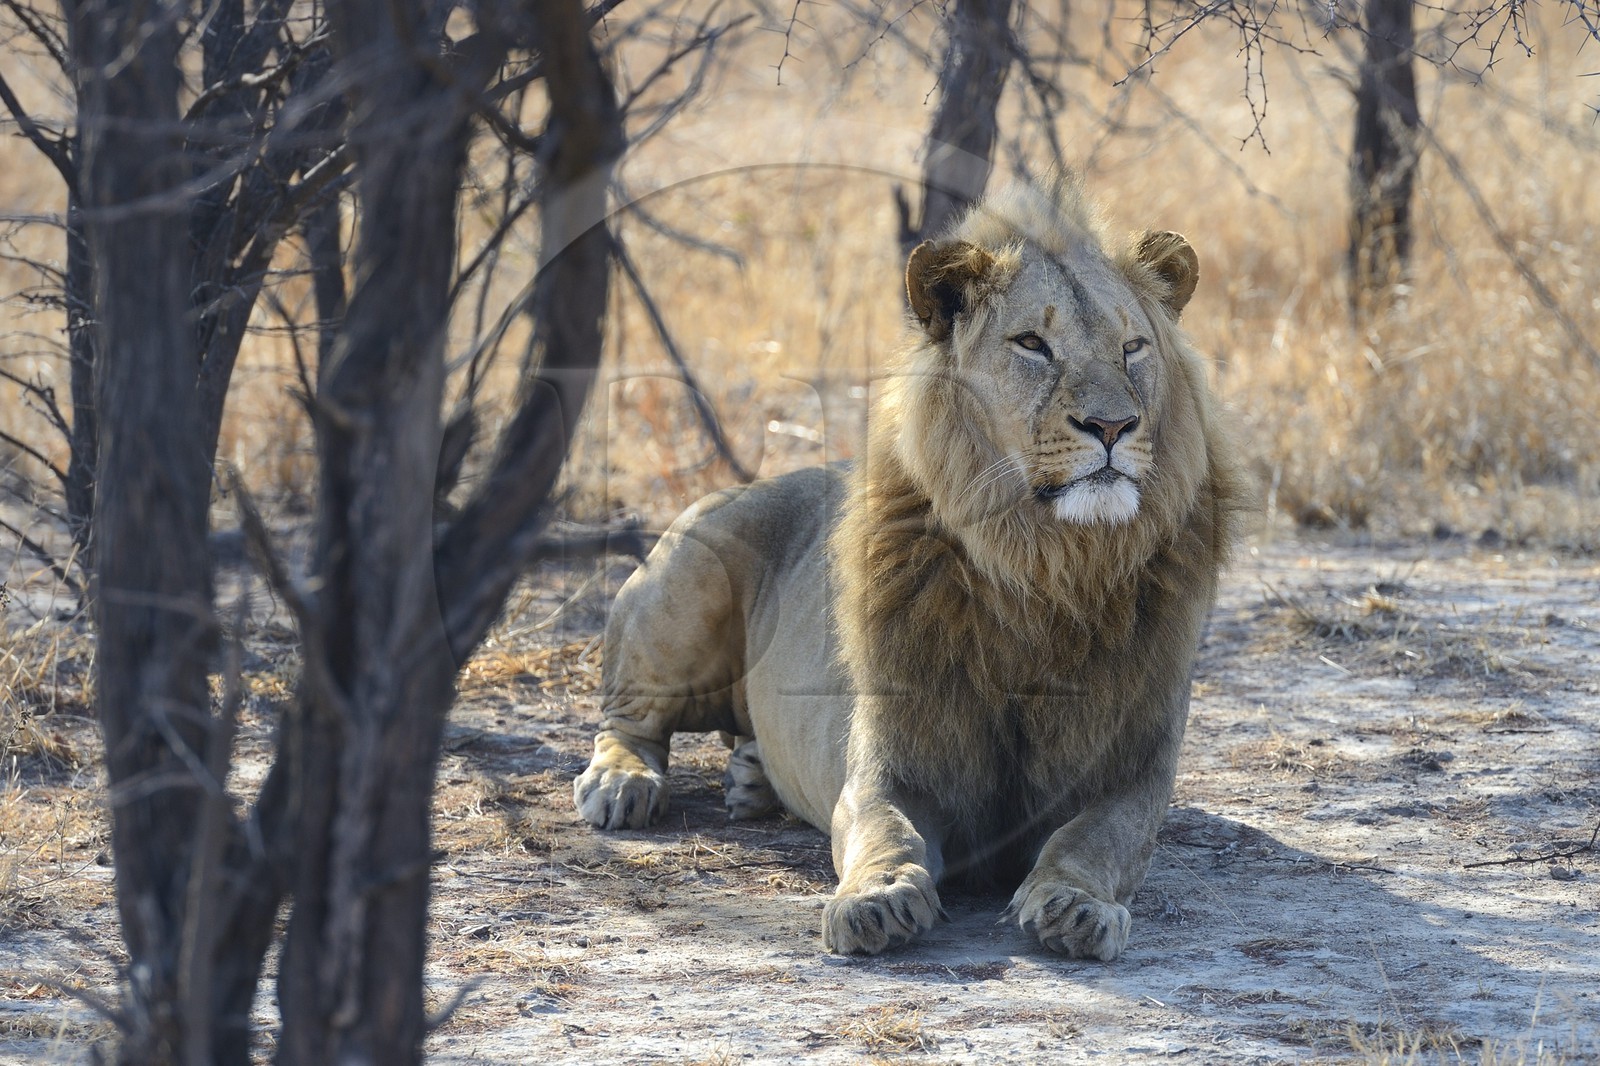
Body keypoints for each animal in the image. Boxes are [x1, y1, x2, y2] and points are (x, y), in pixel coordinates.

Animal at [573, 174, 1246, 960]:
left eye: (1133, 347)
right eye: (1033, 344)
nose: (1113, 426)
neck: (1044, 564)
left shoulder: (1132, 771)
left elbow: (1095, 841)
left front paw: (1075, 906)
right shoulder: (892, 759)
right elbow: (881, 828)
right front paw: (877, 899)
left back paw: (751, 777)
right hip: (688, 574)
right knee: (627, 720)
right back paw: (622, 786)